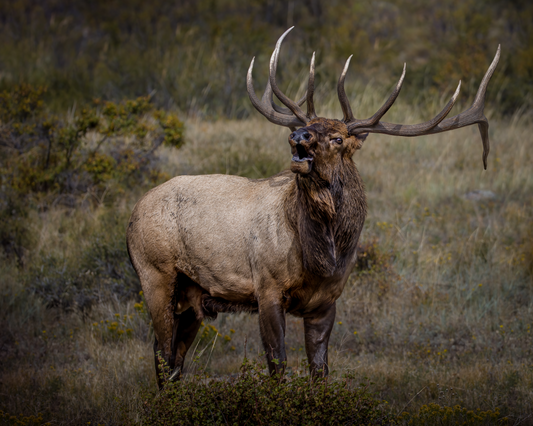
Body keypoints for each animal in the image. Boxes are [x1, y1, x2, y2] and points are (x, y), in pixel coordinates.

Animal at [127, 26, 500, 386]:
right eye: (305, 126)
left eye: (338, 138)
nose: (298, 137)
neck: (323, 257)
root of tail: (133, 212)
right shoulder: (266, 286)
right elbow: (278, 367)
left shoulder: (327, 301)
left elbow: (320, 371)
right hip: (155, 273)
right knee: (162, 354)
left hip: (193, 295)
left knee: (174, 359)